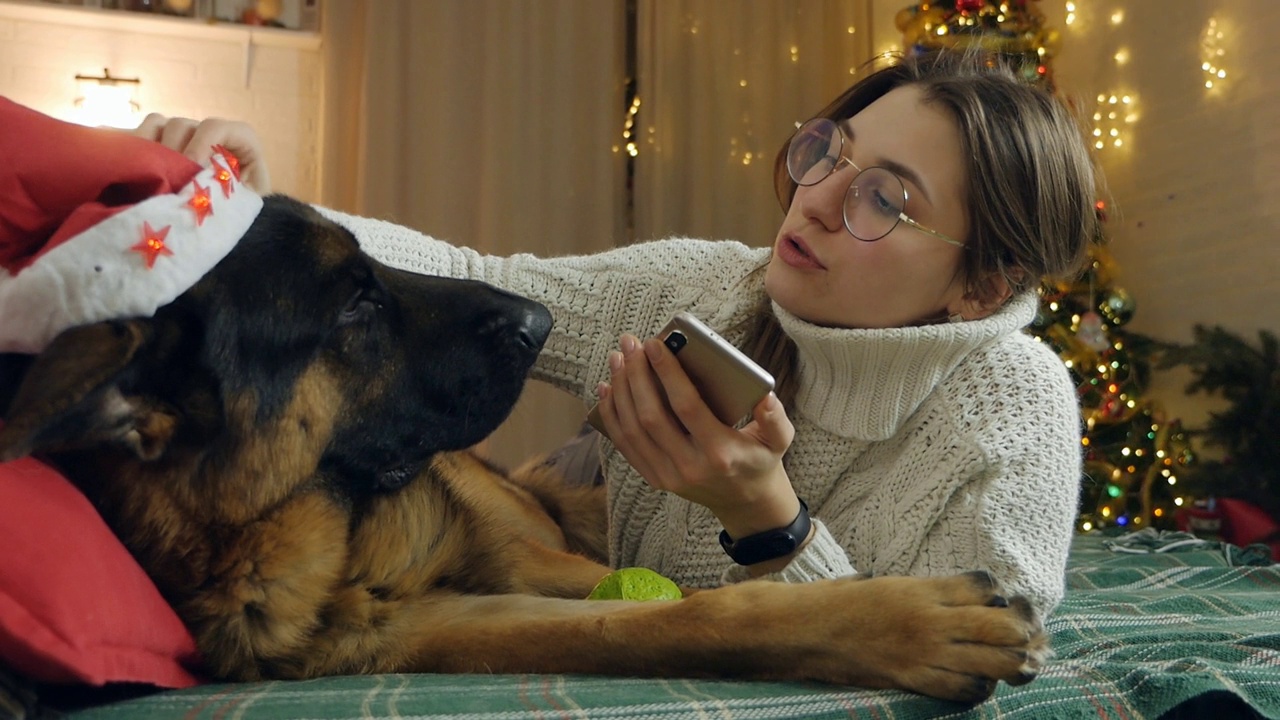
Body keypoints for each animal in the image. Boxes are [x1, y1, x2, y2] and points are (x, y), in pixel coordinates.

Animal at [0, 194, 1044, 702]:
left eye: (372, 270)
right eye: (355, 304)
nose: (543, 324)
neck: (330, 532)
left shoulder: (524, 564)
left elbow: (701, 601)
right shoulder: (435, 628)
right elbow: (683, 621)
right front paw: (913, 624)